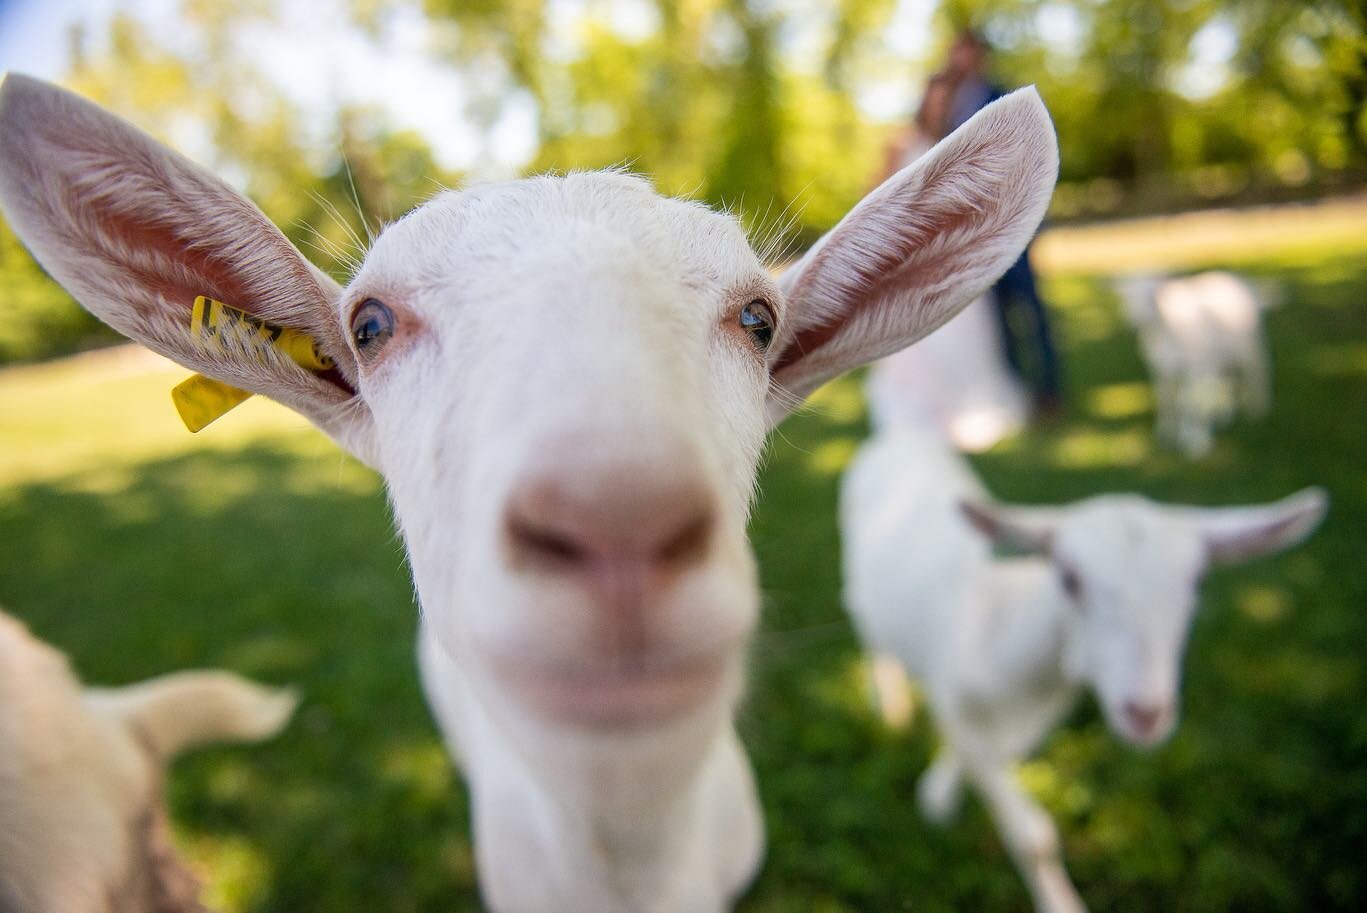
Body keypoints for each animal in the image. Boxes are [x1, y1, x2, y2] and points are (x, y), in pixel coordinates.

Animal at [836, 377, 1328, 913]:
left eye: (1197, 581)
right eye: (1069, 578)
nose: (1146, 713)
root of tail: (899, 436)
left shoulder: (1016, 724)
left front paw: (940, 790)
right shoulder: (954, 693)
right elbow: (1032, 834)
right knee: (875, 645)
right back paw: (892, 709)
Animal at [1115, 269, 1274, 456]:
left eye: (1153, 294)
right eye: (1126, 297)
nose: (1135, 319)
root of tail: (1237, 278)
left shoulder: (1195, 367)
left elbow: (1190, 402)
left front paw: (1196, 442)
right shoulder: (1163, 370)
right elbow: (1167, 399)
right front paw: (1166, 433)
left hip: (1250, 343)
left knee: (1258, 371)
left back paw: (1259, 410)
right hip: (1222, 352)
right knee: (1228, 379)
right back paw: (1225, 416)